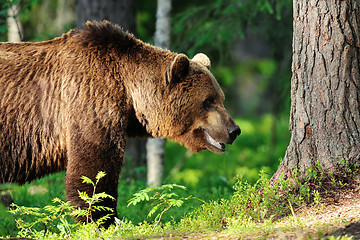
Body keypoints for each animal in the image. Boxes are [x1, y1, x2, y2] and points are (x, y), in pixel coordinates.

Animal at [0, 20, 242, 225]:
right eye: (208, 101)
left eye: (221, 98)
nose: (234, 130)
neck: (129, 93)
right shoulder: (90, 99)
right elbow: (94, 168)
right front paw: (103, 219)